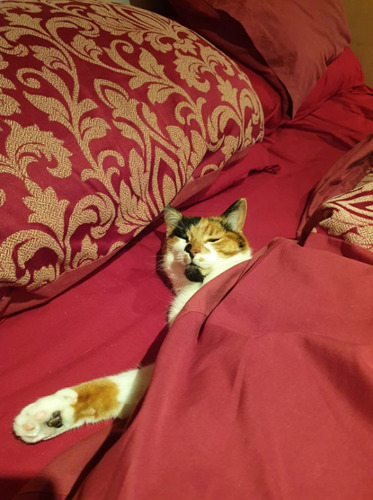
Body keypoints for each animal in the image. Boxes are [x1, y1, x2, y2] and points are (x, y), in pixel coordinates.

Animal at [15, 198, 253, 442]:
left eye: (213, 239)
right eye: (184, 238)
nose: (191, 249)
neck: (197, 287)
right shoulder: (170, 362)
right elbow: (119, 385)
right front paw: (49, 415)